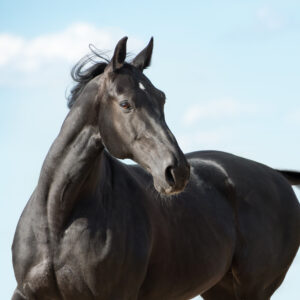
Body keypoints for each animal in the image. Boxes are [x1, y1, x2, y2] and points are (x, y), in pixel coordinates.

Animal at [11, 37, 300, 300]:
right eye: (125, 103)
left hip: (253, 290)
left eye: (161, 98)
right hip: (220, 290)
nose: (177, 172)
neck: (57, 221)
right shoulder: (27, 292)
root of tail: (277, 177)